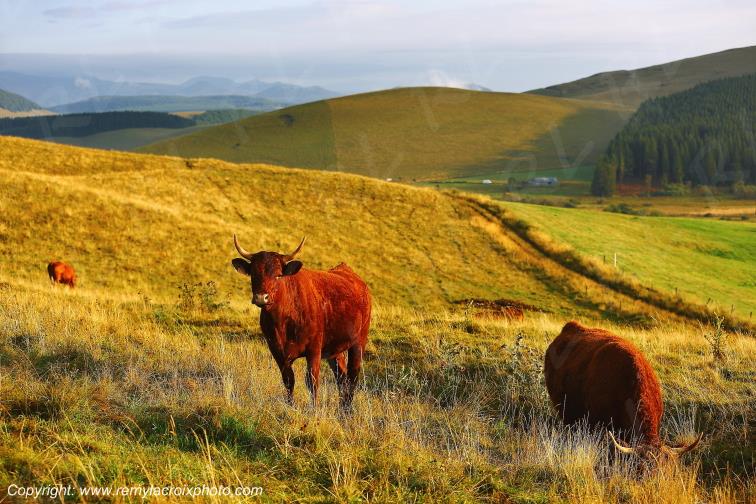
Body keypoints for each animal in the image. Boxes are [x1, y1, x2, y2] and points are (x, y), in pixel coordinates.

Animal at [231, 234, 371, 411]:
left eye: (278, 275)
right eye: (253, 274)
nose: (261, 298)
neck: (282, 322)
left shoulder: (314, 350)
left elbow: (312, 381)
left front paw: (314, 410)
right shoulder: (277, 351)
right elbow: (288, 380)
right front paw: (290, 406)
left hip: (359, 341)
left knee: (353, 376)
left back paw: (347, 409)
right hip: (335, 349)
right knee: (342, 377)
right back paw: (342, 408)